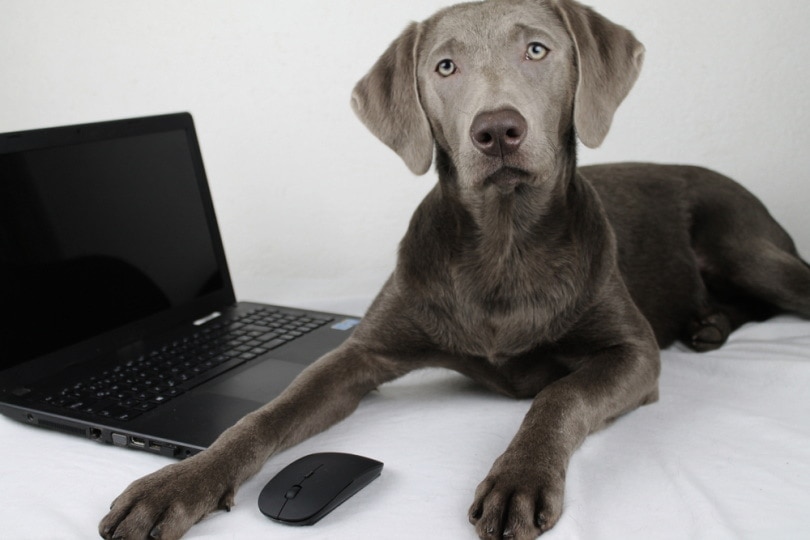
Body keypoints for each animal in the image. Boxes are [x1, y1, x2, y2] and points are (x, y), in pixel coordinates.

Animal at [96, 2, 808, 536]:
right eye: (445, 66)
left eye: (537, 51)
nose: (497, 131)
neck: (503, 245)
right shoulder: (361, 355)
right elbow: (265, 415)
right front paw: (178, 483)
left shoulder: (632, 354)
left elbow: (559, 394)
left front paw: (519, 477)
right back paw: (709, 325)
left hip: (745, 246)